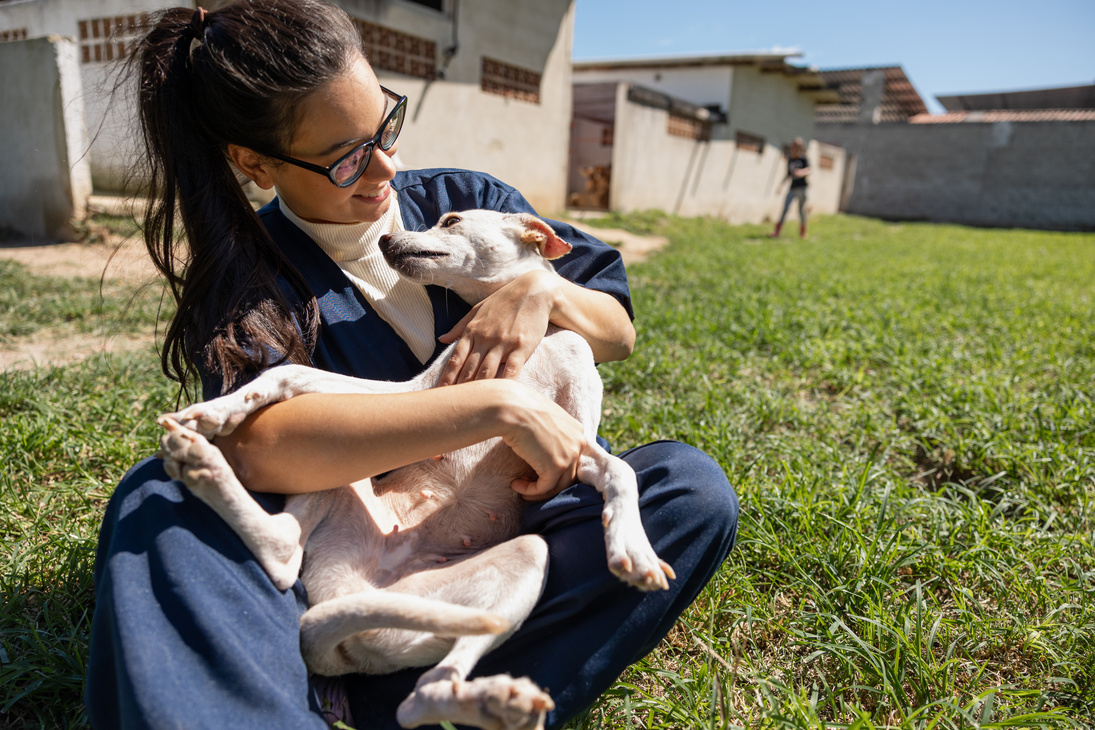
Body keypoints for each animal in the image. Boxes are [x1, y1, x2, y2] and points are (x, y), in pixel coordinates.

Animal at [157, 211, 670, 730]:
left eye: (451, 220)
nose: (384, 239)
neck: (536, 339)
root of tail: (351, 593)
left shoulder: (574, 446)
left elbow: (619, 472)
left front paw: (632, 548)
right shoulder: (413, 391)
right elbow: (285, 373)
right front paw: (214, 411)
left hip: (515, 562)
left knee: (420, 693)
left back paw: (495, 701)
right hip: (341, 461)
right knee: (286, 555)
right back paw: (201, 461)